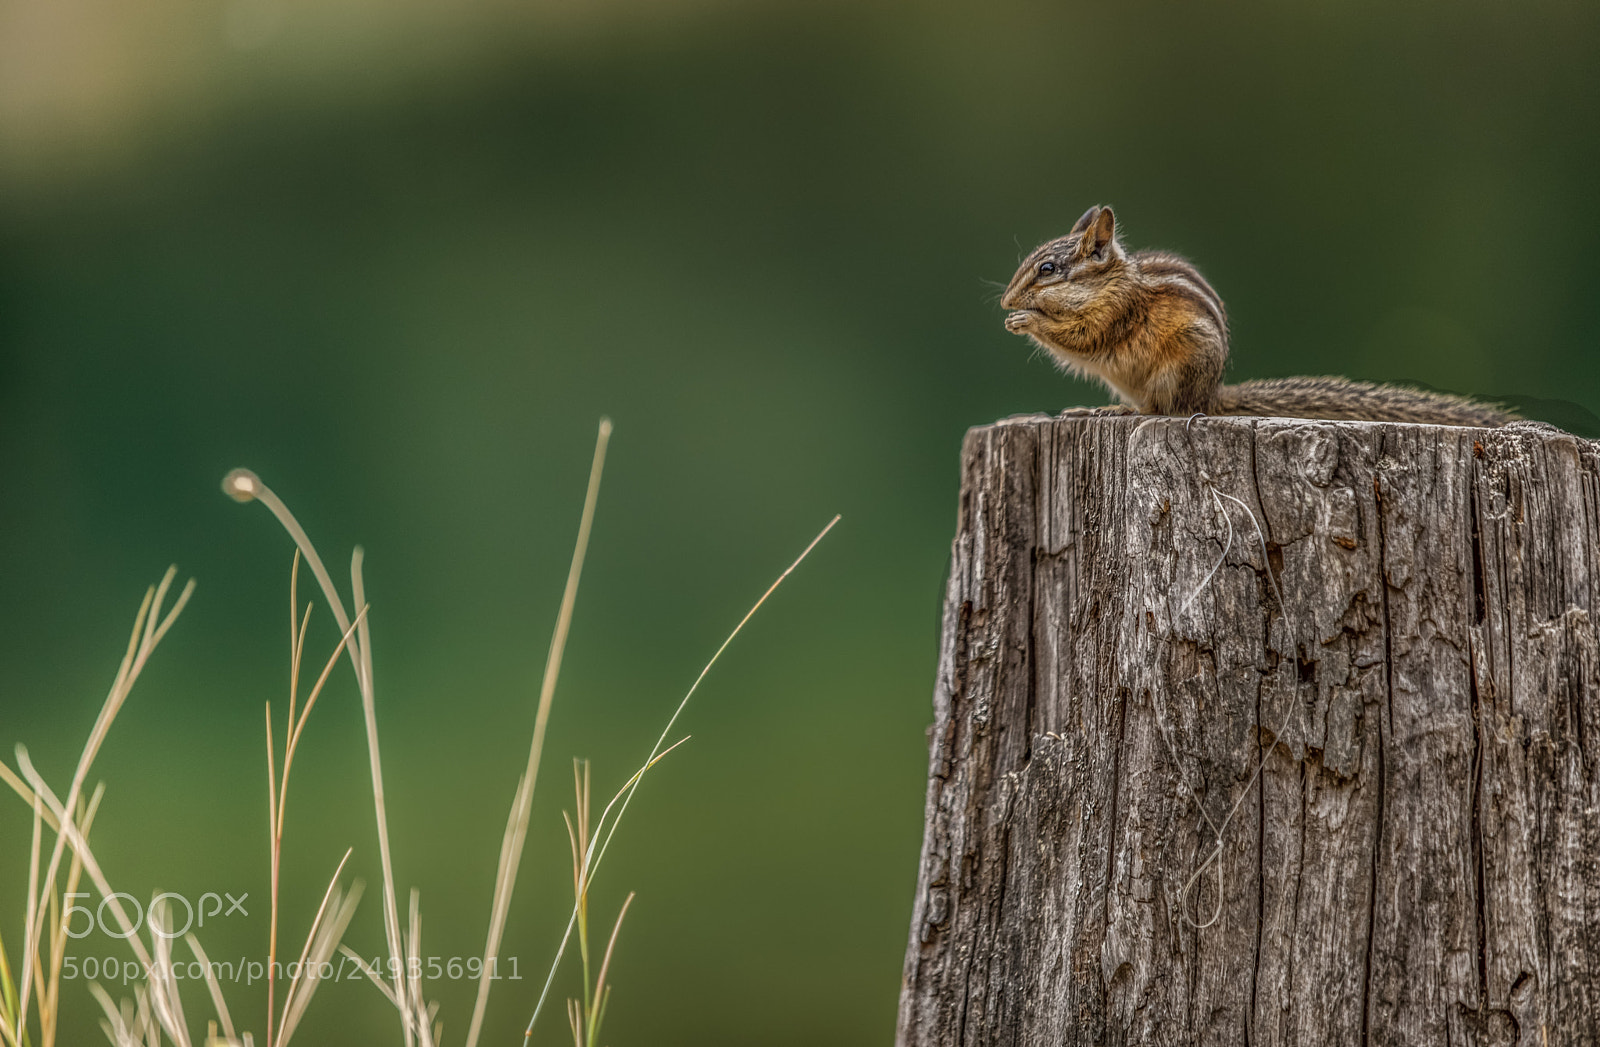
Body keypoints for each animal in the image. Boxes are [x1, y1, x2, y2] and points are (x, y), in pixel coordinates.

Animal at [1000, 206, 1515, 427]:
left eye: (1047, 270)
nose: (1005, 302)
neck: (1113, 281)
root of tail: (1213, 393)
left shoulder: (1115, 313)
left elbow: (1084, 337)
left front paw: (1028, 321)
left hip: (1179, 368)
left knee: (1166, 410)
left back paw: (1126, 413)